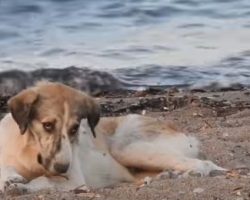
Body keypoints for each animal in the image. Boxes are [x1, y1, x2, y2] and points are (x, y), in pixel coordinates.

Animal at [0, 81, 225, 192]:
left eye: (74, 129)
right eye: (47, 125)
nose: (63, 168)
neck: (29, 150)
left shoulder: (74, 180)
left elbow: (43, 180)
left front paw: (22, 187)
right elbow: (7, 170)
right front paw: (11, 179)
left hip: (126, 148)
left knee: (205, 164)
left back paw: (193, 173)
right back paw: (169, 175)